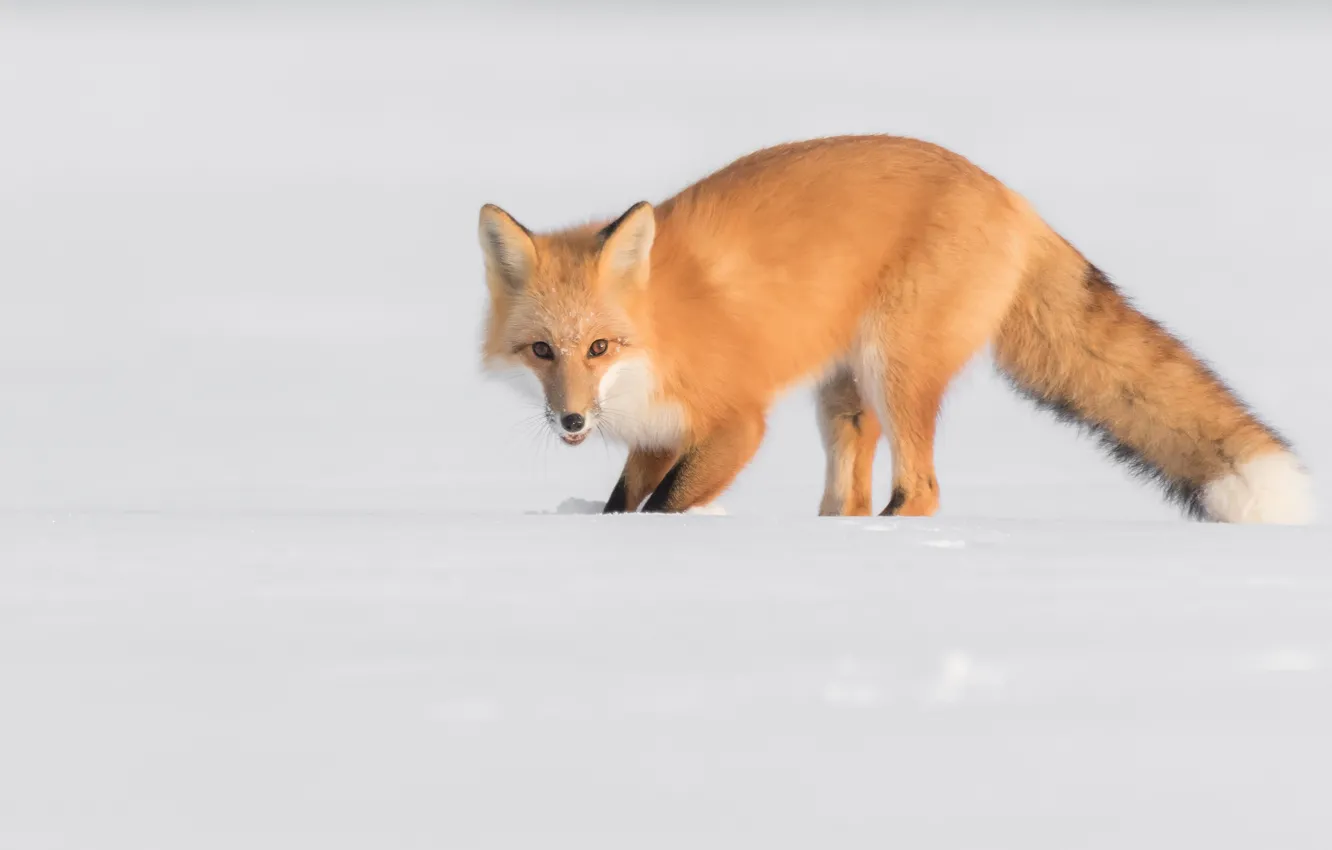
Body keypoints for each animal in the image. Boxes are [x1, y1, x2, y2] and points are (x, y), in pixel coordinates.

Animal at [477, 134, 1313, 523]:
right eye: (543, 351)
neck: (661, 330)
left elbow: (663, 507)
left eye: (600, 347)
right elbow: (625, 503)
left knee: (921, 492)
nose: (571, 419)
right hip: (842, 395)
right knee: (847, 499)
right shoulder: (655, 435)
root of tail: (1010, 196)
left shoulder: (736, 423)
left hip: (896, 370)